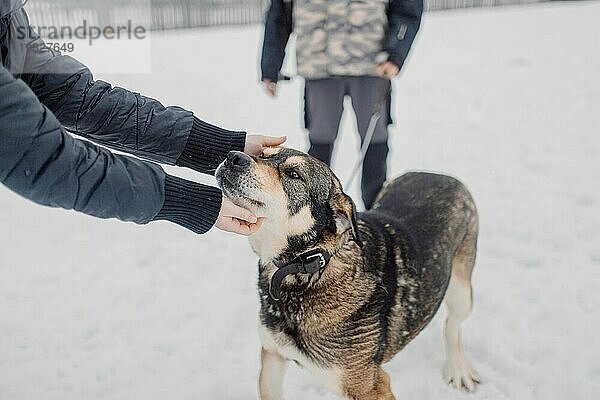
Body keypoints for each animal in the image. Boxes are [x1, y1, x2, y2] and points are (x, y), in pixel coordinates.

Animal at [218, 148, 480, 398]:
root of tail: (439, 175)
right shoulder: (272, 356)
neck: (310, 265)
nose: (234, 157)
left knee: (452, 325)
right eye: (262, 155)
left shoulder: (371, 387)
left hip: (461, 292)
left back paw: (459, 370)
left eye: (294, 174)